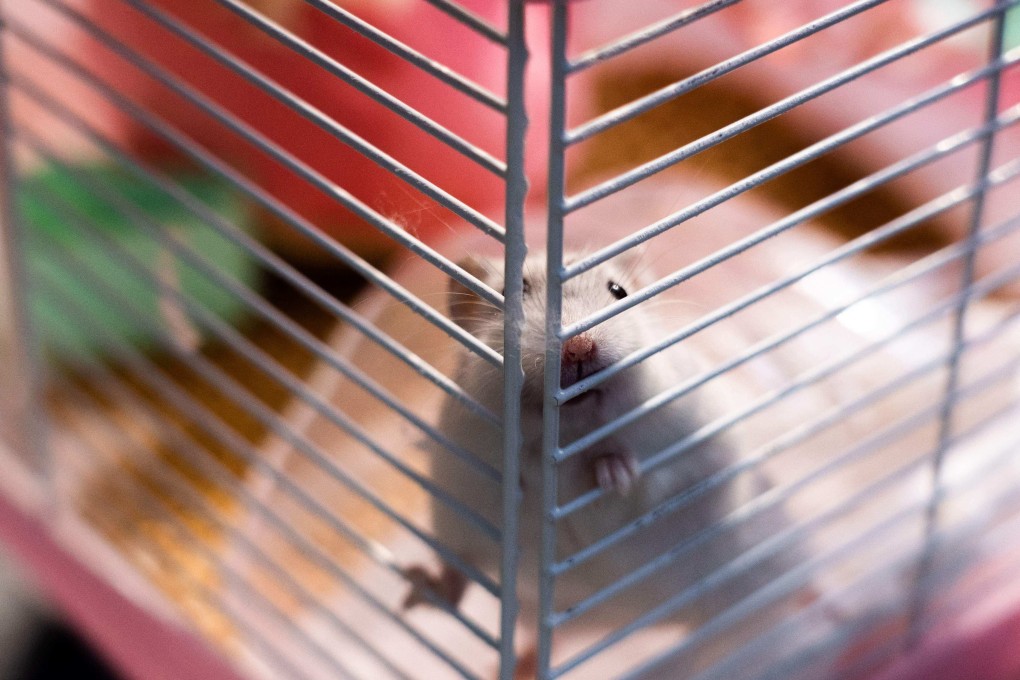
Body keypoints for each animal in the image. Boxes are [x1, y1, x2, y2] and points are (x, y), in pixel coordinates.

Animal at [403, 251, 817, 673]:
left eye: (619, 291)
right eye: (511, 291)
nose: (578, 347)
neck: (567, 434)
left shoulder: (688, 448)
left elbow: (643, 477)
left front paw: (612, 473)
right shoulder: (461, 484)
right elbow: (482, 526)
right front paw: (517, 485)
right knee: (461, 580)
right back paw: (421, 597)